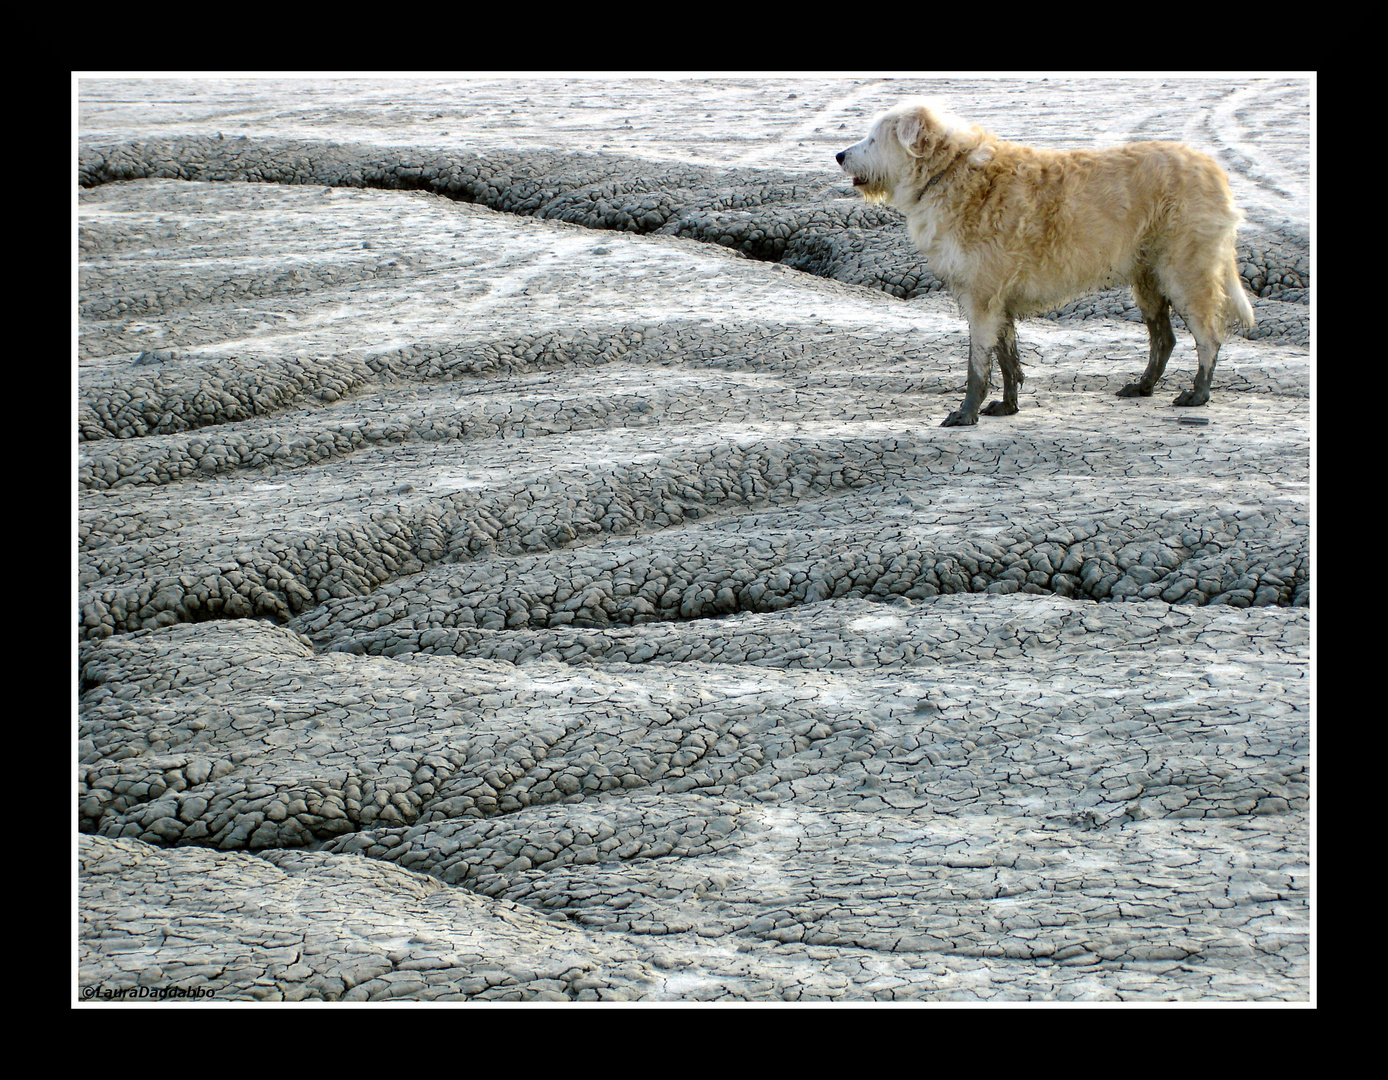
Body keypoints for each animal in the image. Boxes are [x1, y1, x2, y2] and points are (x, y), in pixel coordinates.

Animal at [832, 97, 1260, 424]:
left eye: (873, 138)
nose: (838, 155)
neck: (949, 171)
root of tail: (1214, 170)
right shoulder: (998, 301)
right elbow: (1006, 358)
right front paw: (1007, 406)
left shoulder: (982, 297)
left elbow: (977, 364)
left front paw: (966, 413)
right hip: (1147, 274)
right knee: (1164, 338)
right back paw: (1143, 386)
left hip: (1185, 269)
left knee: (1209, 333)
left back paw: (1198, 393)